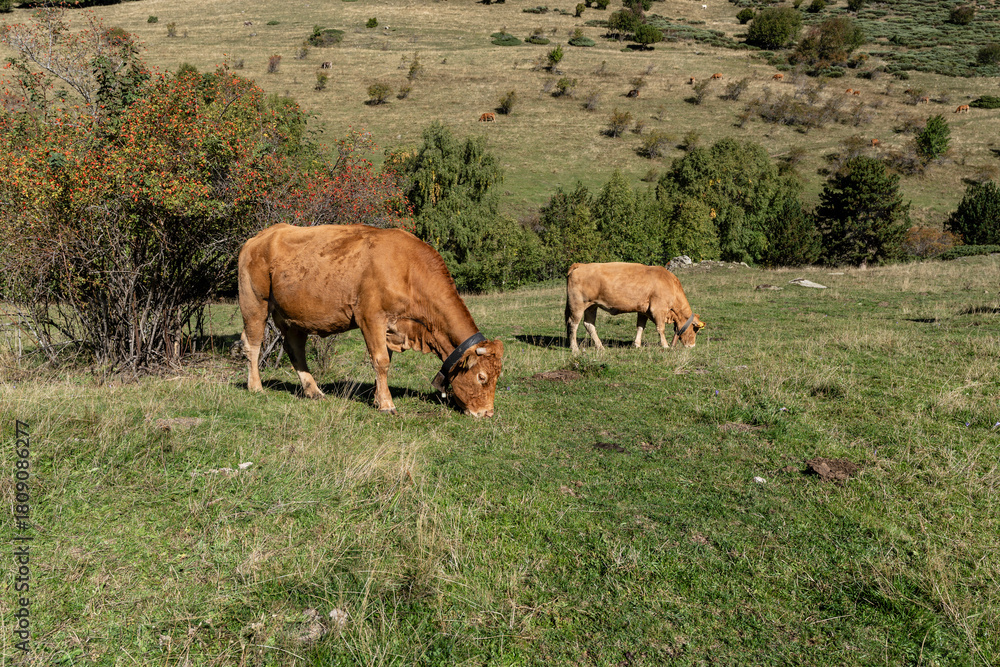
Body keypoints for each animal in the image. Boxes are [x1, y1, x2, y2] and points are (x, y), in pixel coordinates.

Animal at [238, 223, 504, 416]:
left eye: (497, 376)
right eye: (481, 377)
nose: (487, 413)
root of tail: (261, 236)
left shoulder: (393, 327)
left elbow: (386, 361)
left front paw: (378, 397)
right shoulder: (371, 317)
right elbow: (381, 361)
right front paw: (386, 404)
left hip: (295, 315)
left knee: (295, 349)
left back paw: (313, 391)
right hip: (254, 302)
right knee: (252, 343)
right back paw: (256, 387)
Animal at [565, 262, 705, 353]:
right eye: (695, 330)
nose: (692, 346)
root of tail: (581, 265)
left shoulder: (644, 311)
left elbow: (640, 327)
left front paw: (637, 344)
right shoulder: (658, 309)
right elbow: (661, 328)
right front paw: (665, 345)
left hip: (591, 306)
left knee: (589, 324)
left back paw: (600, 346)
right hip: (577, 305)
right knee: (573, 324)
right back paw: (574, 348)